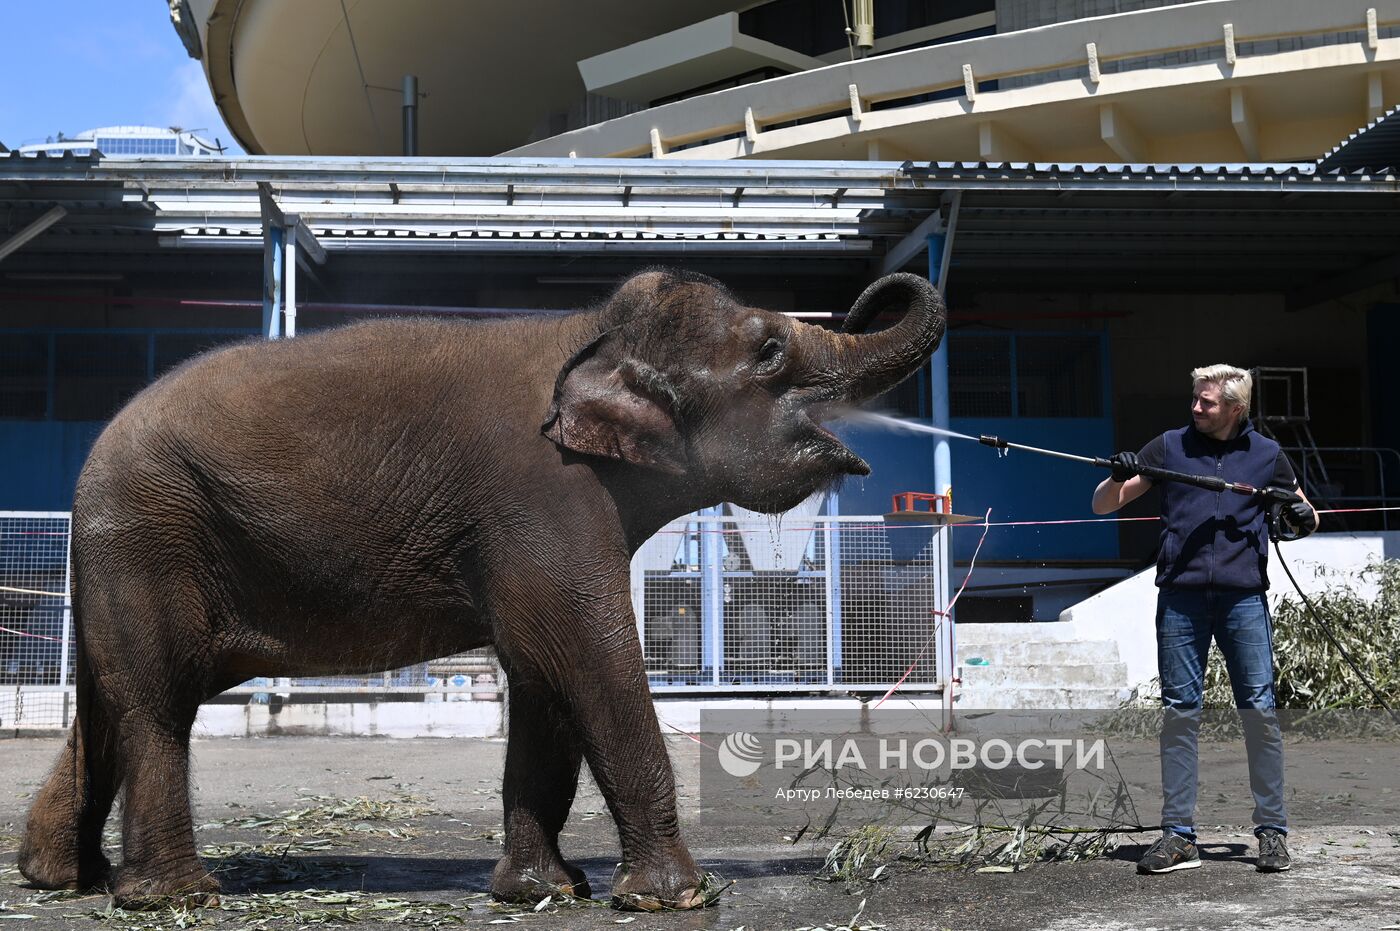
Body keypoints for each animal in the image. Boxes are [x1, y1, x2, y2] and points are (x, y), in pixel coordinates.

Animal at [19, 267, 940, 907]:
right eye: (770, 352)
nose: (871, 292)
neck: (589, 334)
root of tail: (89, 464)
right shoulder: (543, 495)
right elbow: (585, 651)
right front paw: (673, 897)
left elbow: (539, 673)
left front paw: (541, 891)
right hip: (150, 534)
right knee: (156, 702)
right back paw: (175, 897)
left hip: (123, 556)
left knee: (106, 702)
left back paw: (58, 876)